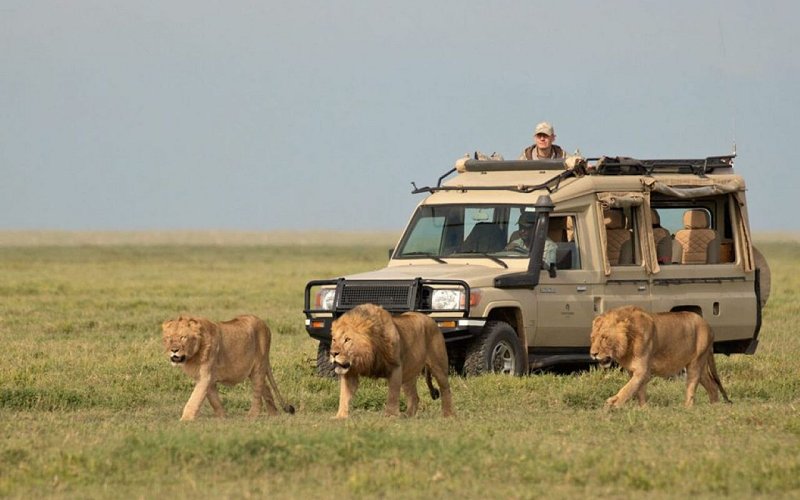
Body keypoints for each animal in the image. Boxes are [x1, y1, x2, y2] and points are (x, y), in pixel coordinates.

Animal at [162, 314, 295, 421]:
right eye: (168, 338)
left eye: (183, 337)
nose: (174, 350)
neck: (193, 356)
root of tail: (265, 324)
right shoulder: (207, 379)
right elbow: (214, 400)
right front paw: (222, 418)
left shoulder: (205, 376)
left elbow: (195, 398)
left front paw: (185, 420)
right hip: (254, 370)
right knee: (265, 386)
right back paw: (274, 414)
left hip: (259, 365)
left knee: (258, 392)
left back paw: (251, 416)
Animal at [589, 305, 731, 408]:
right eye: (593, 338)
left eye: (604, 338)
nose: (593, 354)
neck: (628, 343)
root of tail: (709, 326)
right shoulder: (633, 371)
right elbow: (638, 389)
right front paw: (643, 409)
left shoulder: (644, 371)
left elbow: (629, 388)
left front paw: (614, 403)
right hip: (700, 366)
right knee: (712, 385)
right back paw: (714, 407)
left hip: (696, 363)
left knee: (692, 386)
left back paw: (687, 408)